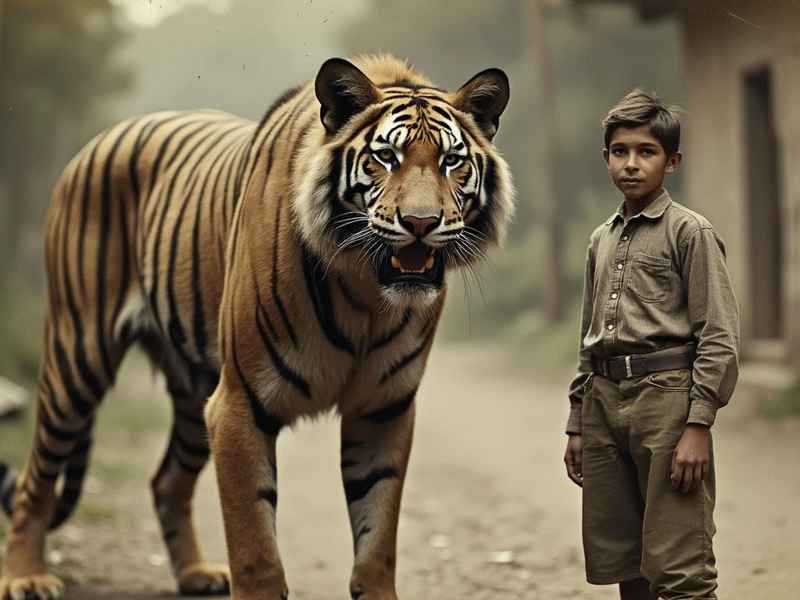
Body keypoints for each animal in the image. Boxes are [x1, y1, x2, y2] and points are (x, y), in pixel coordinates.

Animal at [0, 55, 514, 600]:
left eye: (452, 161)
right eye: (386, 158)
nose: (420, 222)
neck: (365, 293)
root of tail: (100, 139)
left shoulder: (384, 409)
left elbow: (378, 538)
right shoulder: (239, 405)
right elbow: (255, 544)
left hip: (193, 390)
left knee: (166, 481)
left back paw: (195, 574)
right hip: (77, 358)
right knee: (36, 481)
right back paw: (26, 577)